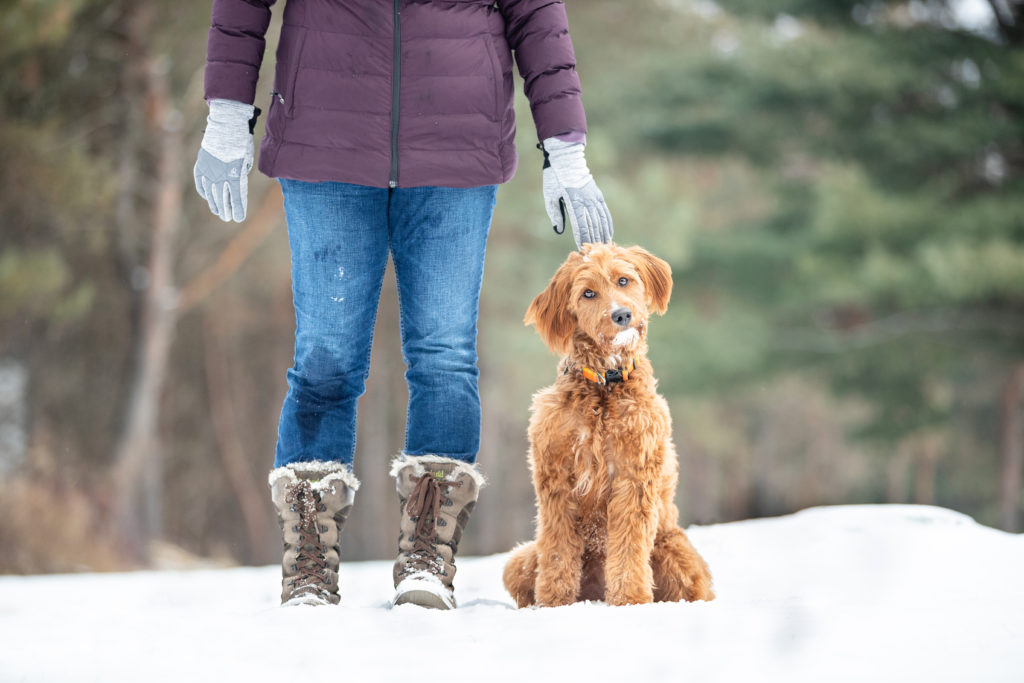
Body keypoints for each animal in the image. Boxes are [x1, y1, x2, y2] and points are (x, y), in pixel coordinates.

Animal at [501, 242, 712, 606]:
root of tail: (593, 592)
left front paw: (629, 599)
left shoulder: (634, 475)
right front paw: (554, 603)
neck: (604, 382)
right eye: (588, 293)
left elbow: (629, 546)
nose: (622, 315)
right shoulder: (556, 479)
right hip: (518, 562)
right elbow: (557, 549)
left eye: (623, 280)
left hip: (677, 555)